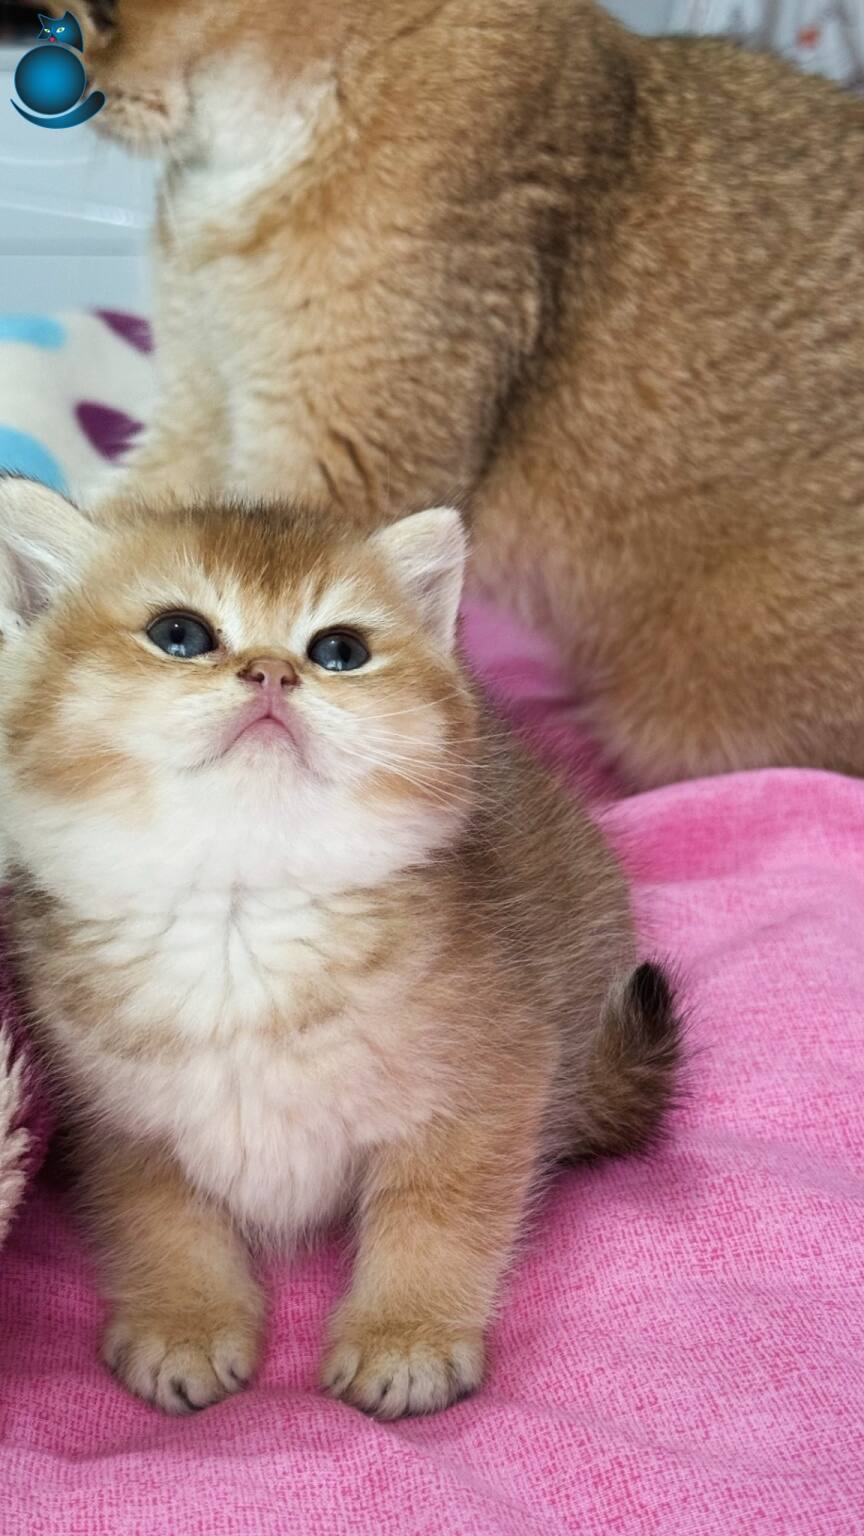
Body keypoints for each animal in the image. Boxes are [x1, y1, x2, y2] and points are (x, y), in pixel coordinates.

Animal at [0, 475, 680, 1417]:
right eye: (180, 635)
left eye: (339, 650)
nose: (273, 672)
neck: (239, 917)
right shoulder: (117, 1118)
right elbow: (158, 1216)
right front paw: (185, 1318)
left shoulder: (496, 1084)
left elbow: (437, 1215)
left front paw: (406, 1336)